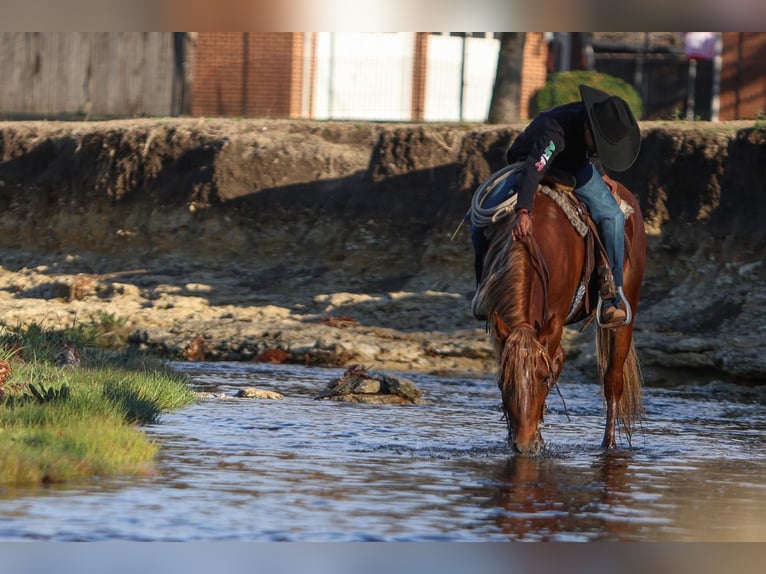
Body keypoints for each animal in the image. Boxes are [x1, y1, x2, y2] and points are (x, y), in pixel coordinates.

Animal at [480, 173, 648, 456]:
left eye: (544, 379)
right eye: (502, 381)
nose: (523, 445)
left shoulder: (554, 324)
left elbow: (557, 362)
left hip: (626, 314)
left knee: (613, 381)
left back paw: (609, 445)